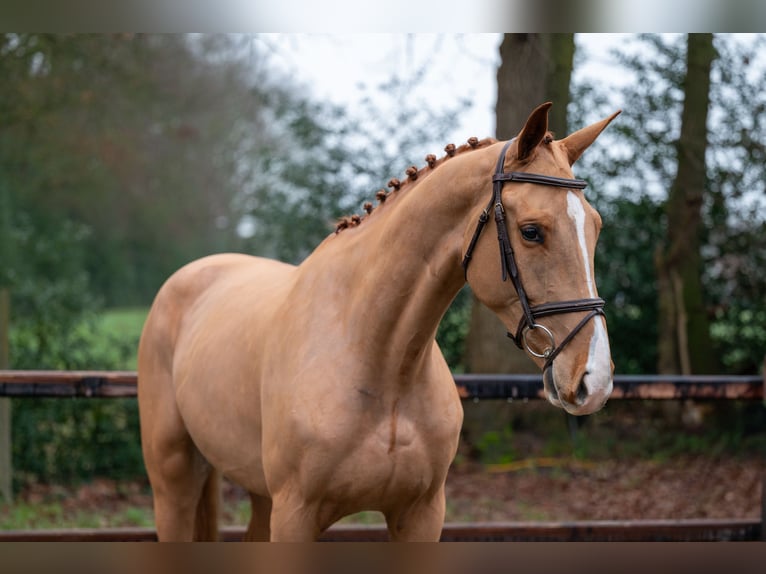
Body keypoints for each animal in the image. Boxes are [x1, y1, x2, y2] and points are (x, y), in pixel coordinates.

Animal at [137, 102, 620, 541]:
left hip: (259, 497)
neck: (380, 364)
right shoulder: (295, 515)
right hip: (175, 481)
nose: (593, 380)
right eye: (532, 231)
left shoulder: (421, 514)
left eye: (596, 227)